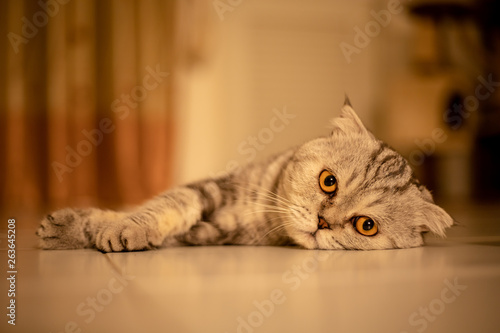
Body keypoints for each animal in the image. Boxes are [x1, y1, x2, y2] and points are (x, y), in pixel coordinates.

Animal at [37, 100, 456, 250]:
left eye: (366, 226)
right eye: (329, 181)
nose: (322, 222)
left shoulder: (209, 235)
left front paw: (91, 229)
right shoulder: (208, 190)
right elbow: (162, 207)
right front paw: (92, 225)